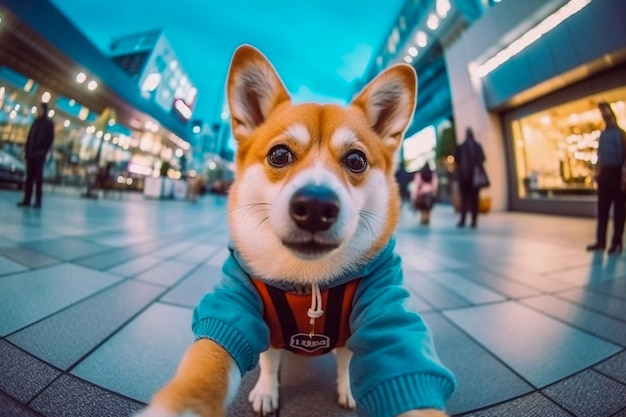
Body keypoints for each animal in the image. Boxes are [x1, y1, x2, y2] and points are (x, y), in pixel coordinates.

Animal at [135, 45, 454, 416]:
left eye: (356, 160)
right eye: (279, 154)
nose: (316, 206)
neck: (309, 279)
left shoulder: (383, 303)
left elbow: (370, 357)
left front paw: (346, 388)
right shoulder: (235, 305)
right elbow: (221, 366)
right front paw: (259, 392)